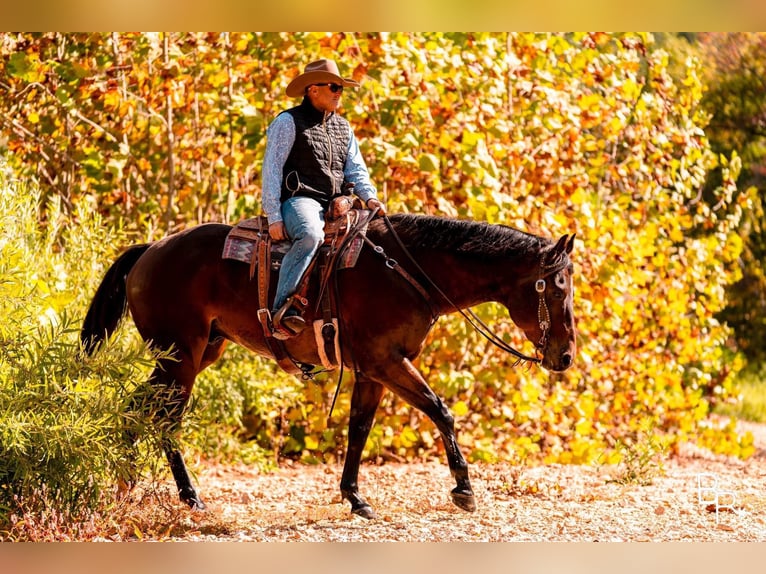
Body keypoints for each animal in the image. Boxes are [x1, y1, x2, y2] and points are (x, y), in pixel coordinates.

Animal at [82, 214, 576, 520]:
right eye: (557, 287)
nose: (566, 356)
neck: (407, 272)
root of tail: (151, 251)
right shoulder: (387, 361)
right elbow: (440, 411)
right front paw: (464, 489)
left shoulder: (372, 371)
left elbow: (359, 429)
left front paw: (355, 497)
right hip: (180, 357)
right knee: (164, 420)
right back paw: (189, 497)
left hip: (197, 355)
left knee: (139, 410)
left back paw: (128, 482)